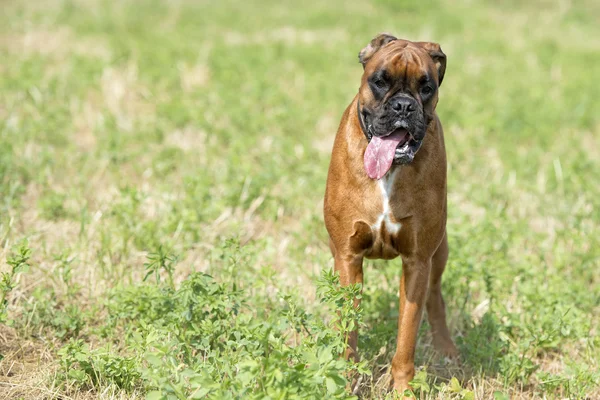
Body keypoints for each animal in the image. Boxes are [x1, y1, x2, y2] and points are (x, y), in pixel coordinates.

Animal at [324, 34, 460, 394]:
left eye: (426, 87)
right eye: (380, 81)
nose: (403, 106)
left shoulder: (417, 263)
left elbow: (407, 335)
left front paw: (402, 389)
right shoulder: (348, 258)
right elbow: (349, 329)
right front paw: (345, 381)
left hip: (439, 254)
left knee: (436, 299)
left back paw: (446, 348)